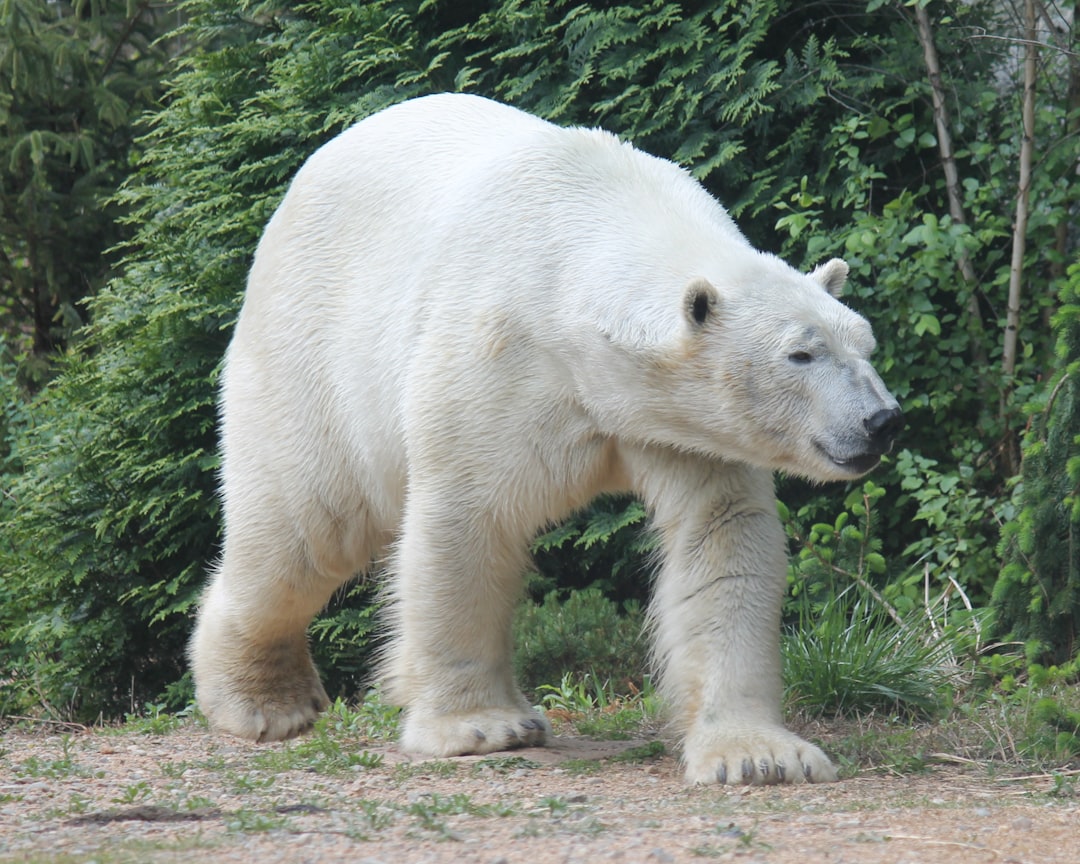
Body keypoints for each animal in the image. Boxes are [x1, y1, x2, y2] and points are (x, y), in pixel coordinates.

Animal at [190, 92, 902, 785]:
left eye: (865, 345)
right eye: (800, 354)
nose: (882, 420)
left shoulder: (680, 426)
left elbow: (723, 536)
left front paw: (758, 754)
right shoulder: (498, 358)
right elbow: (465, 520)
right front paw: (479, 727)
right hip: (313, 350)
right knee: (305, 525)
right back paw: (264, 701)